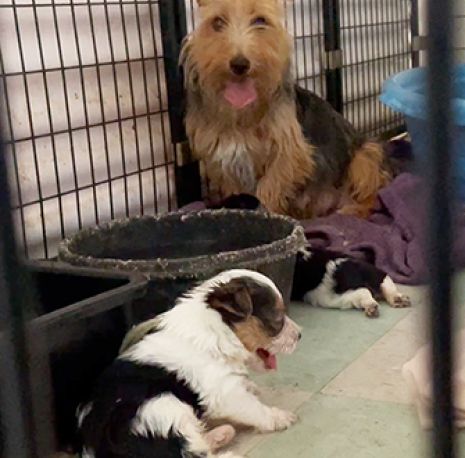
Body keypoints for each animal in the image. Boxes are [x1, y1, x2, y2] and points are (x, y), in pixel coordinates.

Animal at [77, 268, 300, 458]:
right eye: (278, 319)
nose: (300, 335)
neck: (217, 332)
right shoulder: (225, 392)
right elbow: (255, 408)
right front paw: (279, 417)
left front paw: (251, 386)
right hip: (164, 407)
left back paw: (222, 433)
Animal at [179, 0, 390, 219]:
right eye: (217, 22)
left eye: (260, 20)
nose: (239, 64)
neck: (241, 114)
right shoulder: (225, 162)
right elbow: (237, 189)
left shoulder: (291, 154)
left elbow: (270, 186)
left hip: (366, 156)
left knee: (373, 194)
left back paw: (354, 208)